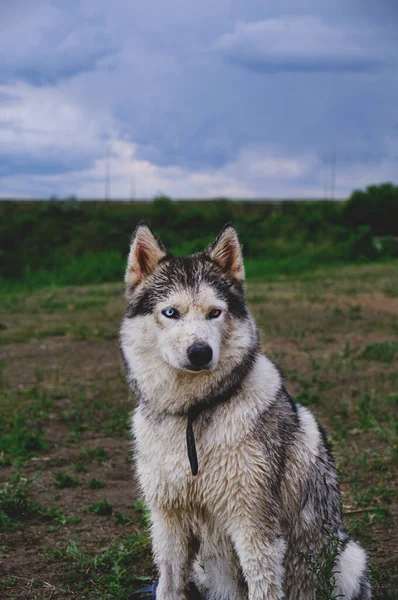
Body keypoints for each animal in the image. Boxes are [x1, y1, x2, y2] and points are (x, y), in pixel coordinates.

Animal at [119, 223, 372, 596]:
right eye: (170, 313)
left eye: (214, 312)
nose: (200, 352)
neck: (193, 410)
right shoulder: (168, 522)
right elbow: (167, 586)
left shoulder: (253, 524)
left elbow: (263, 588)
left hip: (350, 560)